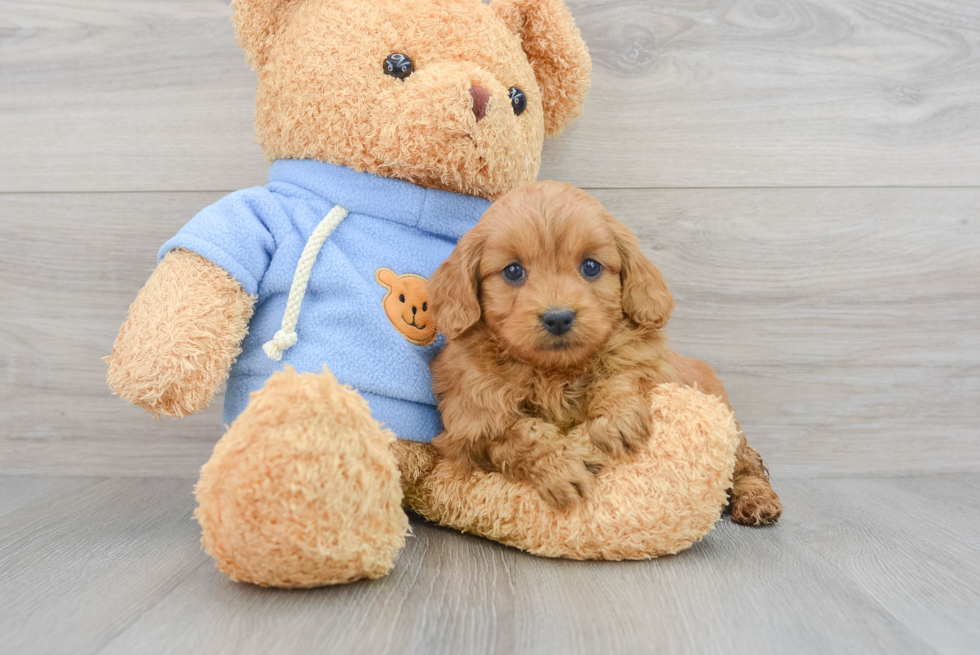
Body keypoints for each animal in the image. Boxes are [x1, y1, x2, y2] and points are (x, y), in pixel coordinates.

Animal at [428, 181, 780, 528]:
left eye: (591, 266)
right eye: (513, 271)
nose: (558, 318)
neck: (555, 372)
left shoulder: (651, 364)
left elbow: (621, 372)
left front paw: (616, 418)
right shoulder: (470, 424)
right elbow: (518, 435)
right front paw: (562, 467)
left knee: (747, 462)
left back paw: (757, 500)